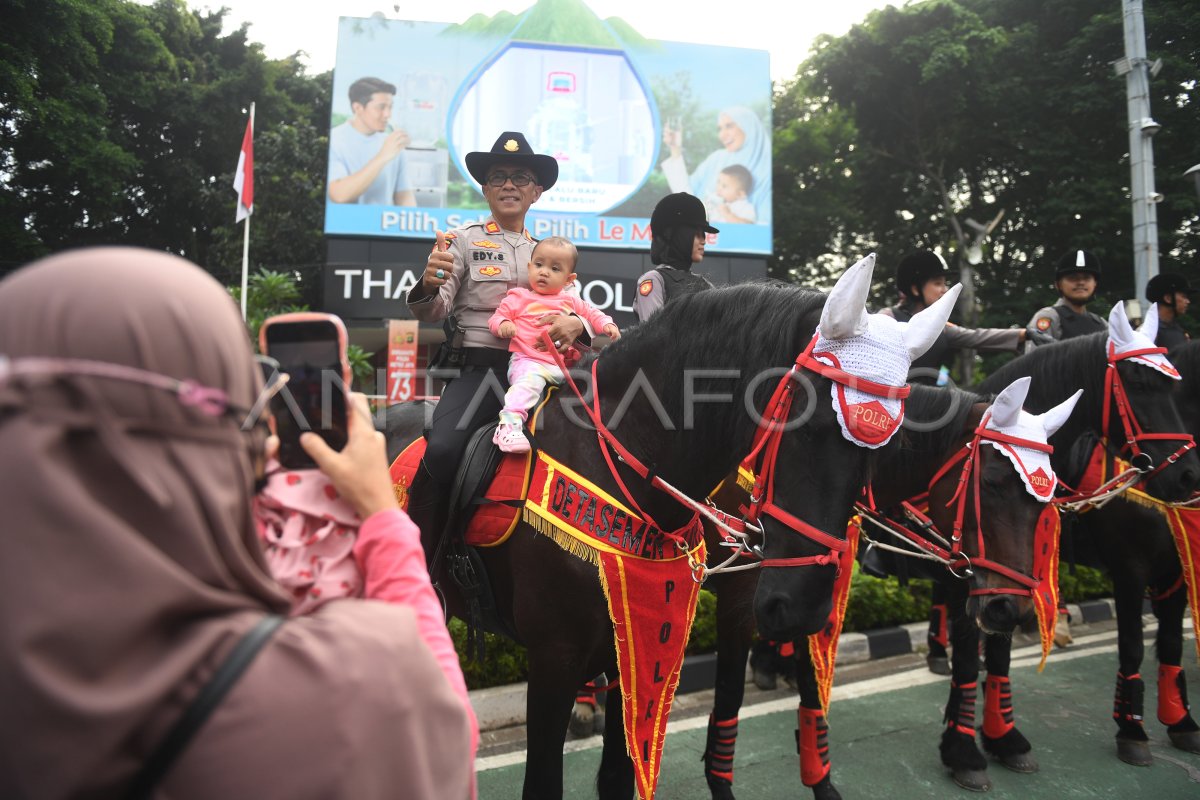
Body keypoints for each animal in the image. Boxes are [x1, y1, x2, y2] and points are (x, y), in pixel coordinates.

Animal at [384, 262, 955, 800]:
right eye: (808, 426)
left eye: (884, 448)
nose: (804, 606)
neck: (615, 461)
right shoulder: (554, 659)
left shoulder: (630, 649)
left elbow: (618, 776)